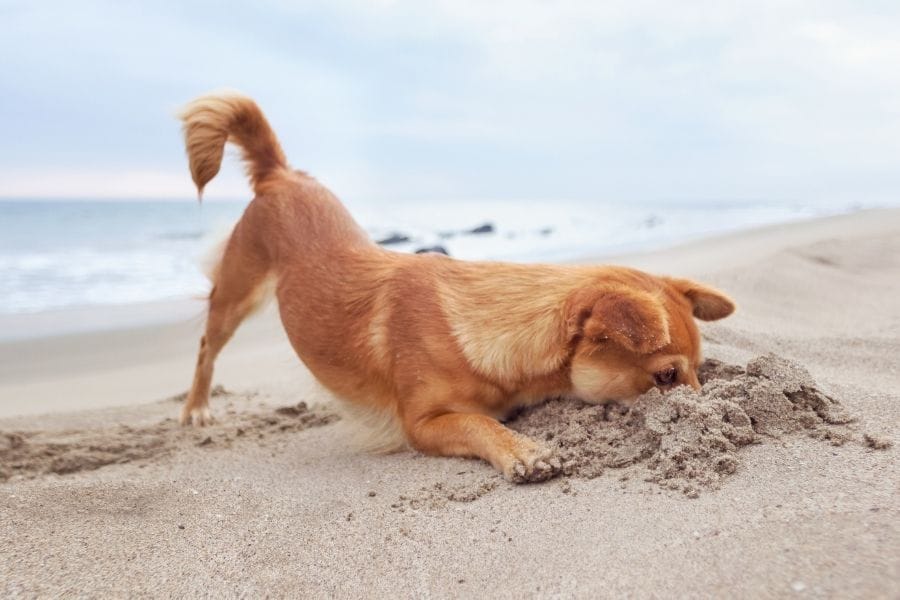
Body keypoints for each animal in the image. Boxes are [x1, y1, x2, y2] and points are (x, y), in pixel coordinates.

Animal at [179, 94, 736, 486]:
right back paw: (197, 407)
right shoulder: (421, 424)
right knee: (206, 344)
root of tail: (279, 175)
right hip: (238, 294)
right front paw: (523, 450)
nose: (710, 416)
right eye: (665, 377)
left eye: (699, 372)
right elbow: (478, 424)